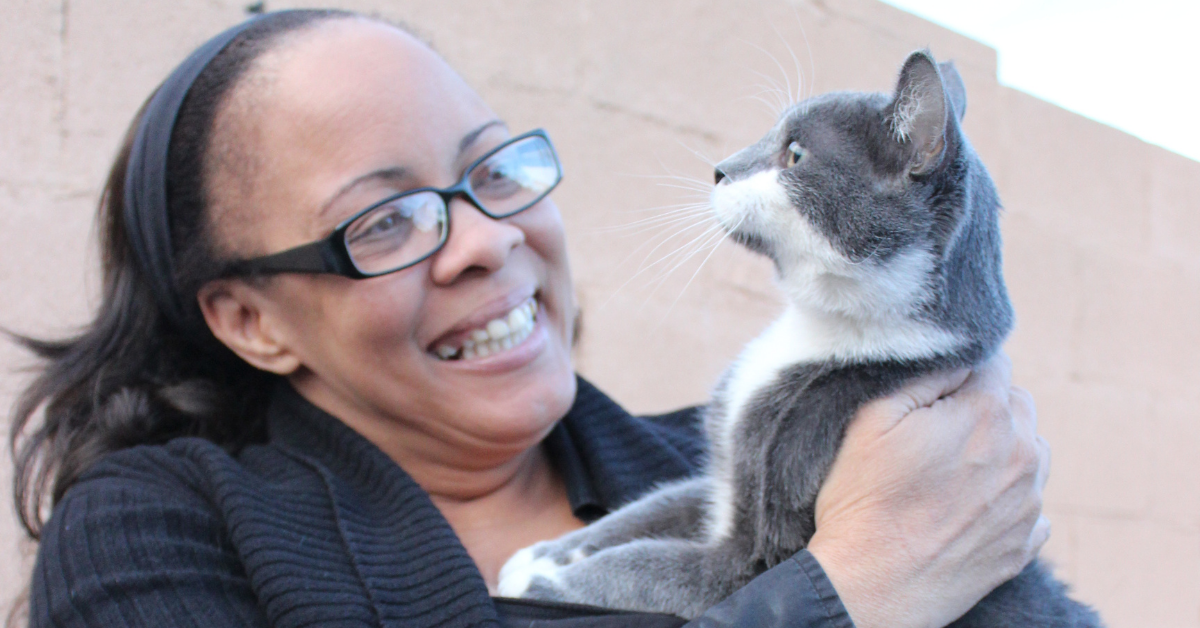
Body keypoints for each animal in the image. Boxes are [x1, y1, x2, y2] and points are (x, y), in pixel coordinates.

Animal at [492, 50, 1099, 628]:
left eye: (796, 155)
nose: (720, 169)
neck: (817, 326)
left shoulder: (758, 546)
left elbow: (646, 566)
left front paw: (540, 582)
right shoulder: (719, 477)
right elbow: (651, 506)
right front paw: (544, 553)